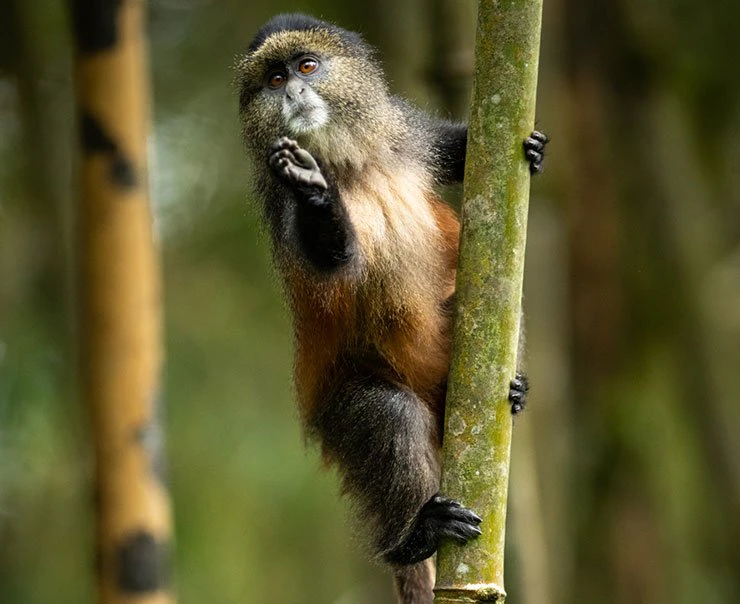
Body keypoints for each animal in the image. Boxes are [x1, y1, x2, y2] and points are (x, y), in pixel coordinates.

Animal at [236, 13, 546, 604]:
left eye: (306, 66)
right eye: (272, 80)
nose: (292, 93)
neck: (351, 164)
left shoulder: (402, 130)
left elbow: (453, 149)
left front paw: (534, 148)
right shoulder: (282, 208)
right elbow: (332, 260)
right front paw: (314, 191)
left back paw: (512, 390)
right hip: (343, 414)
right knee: (388, 413)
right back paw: (414, 536)